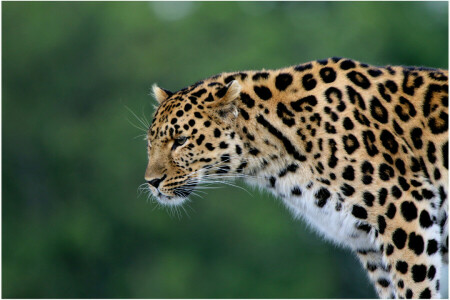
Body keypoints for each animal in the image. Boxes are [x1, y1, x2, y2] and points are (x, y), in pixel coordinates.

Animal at [143, 57, 446, 298]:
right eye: (150, 143)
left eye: (180, 140)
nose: (151, 182)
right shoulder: (368, 244)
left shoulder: (405, 211)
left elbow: (415, 287)